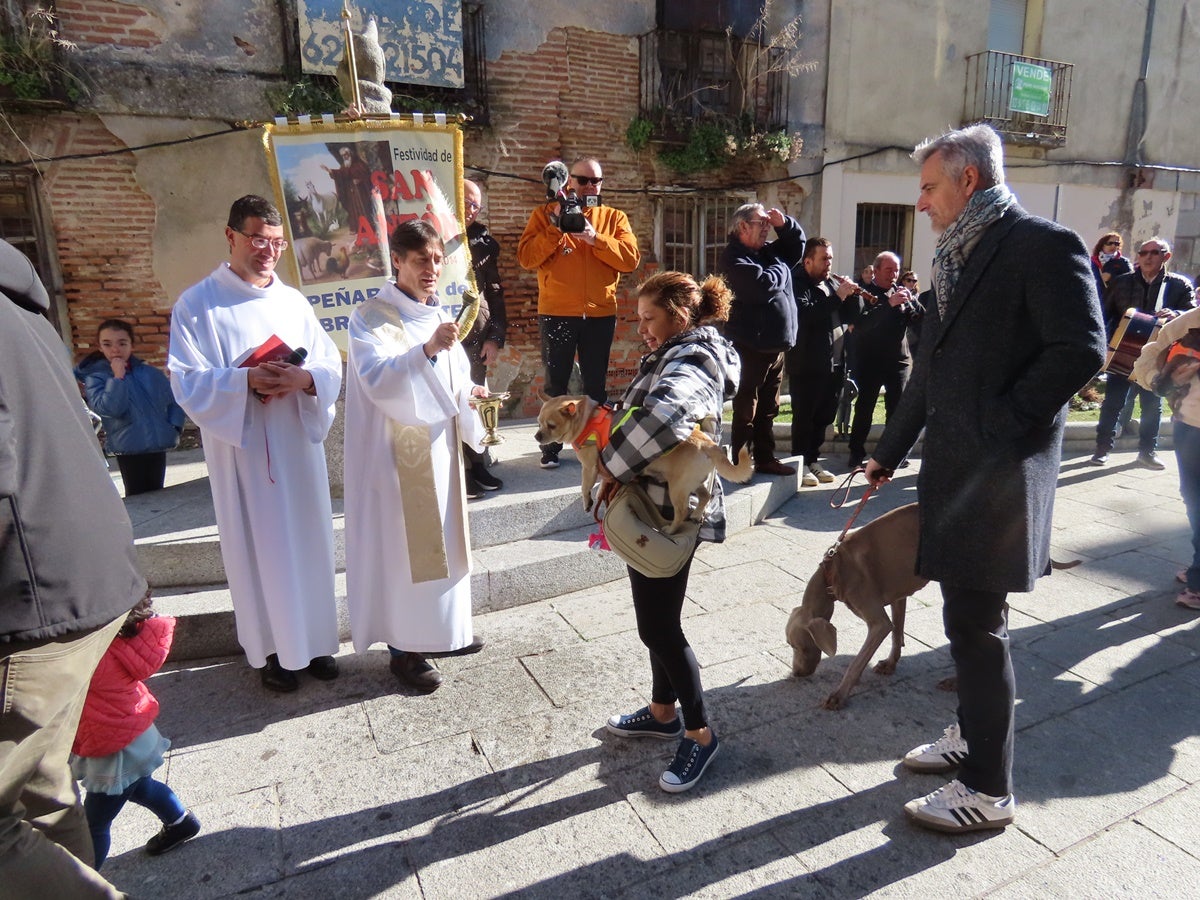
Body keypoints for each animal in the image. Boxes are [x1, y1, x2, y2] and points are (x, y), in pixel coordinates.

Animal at [535, 396, 748, 535]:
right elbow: (602, 484)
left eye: (551, 425)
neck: (586, 418)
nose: (536, 436)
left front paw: (587, 501)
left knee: (681, 511)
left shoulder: (589, 467)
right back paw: (696, 514)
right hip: (694, 482)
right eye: (538, 423)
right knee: (704, 496)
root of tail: (708, 444)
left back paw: (671, 529)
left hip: (677, 488)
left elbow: (584, 486)